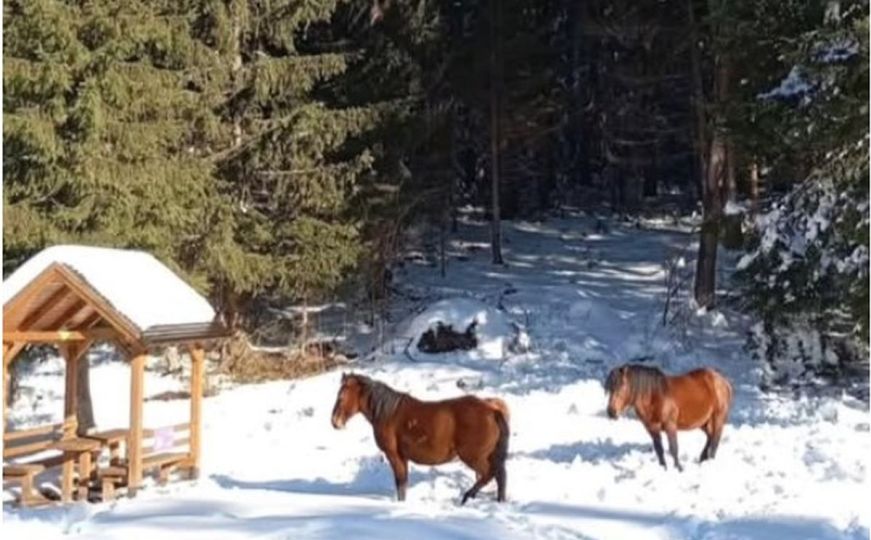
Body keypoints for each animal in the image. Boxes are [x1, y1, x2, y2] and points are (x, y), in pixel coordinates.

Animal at [334, 374, 510, 504]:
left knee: (490, 474)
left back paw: (467, 496)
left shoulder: (394, 455)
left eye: (341, 396)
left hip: (474, 457)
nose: (334, 421)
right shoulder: (403, 457)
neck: (389, 413)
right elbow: (403, 483)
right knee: (500, 476)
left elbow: (400, 482)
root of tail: (492, 410)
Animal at [608, 362, 736, 472]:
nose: (611, 412)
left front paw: (678, 469)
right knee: (710, 436)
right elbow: (659, 450)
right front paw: (663, 468)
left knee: (715, 440)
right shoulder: (652, 428)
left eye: (622, 386)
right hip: (704, 422)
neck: (654, 396)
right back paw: (703, 458)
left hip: (718, 417)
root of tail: (723, 381)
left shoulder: (670, 425)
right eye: (610, 388)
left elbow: (673, 448)